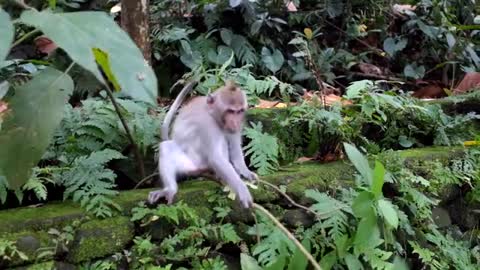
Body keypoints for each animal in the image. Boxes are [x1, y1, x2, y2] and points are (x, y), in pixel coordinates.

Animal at [148, 80, 258, 209]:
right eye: (230, 111)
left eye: (239, 111)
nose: (235, 122)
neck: (212, 114)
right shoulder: (207, 124)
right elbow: (216, 158)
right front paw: (242, 190)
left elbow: (235, 150)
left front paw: (246, 173)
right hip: (192, 164)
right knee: (167, 147)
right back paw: (170, 189)